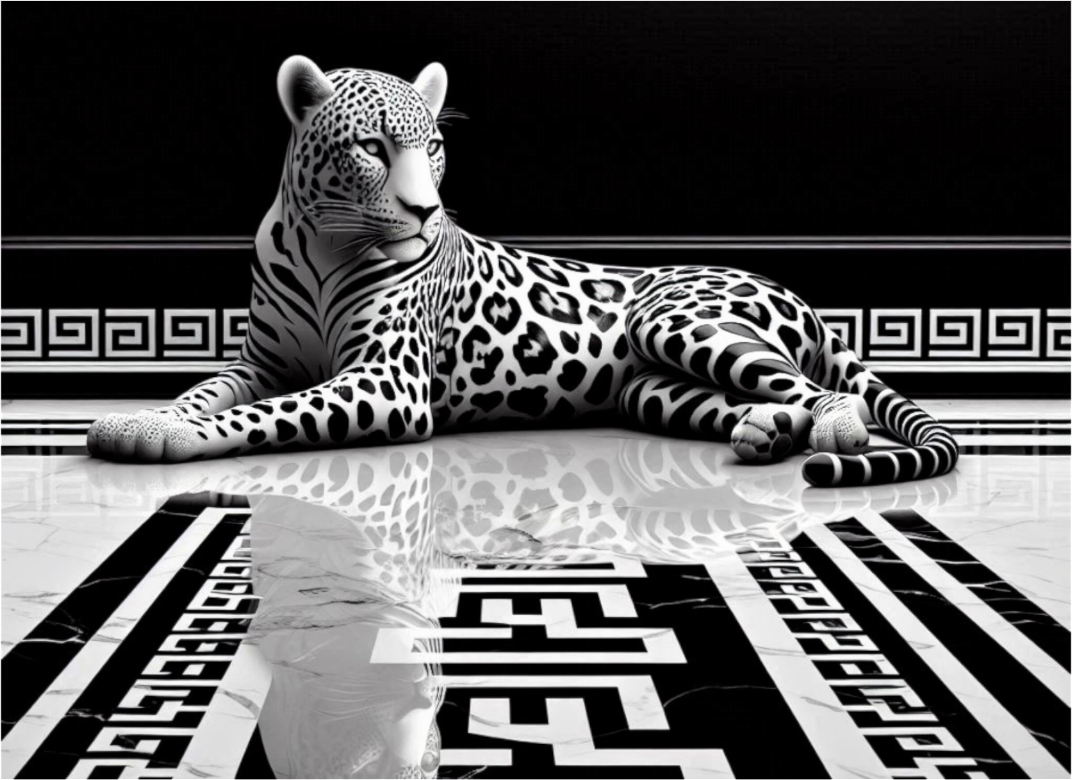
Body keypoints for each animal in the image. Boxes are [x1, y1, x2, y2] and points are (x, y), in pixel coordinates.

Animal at [87, 56, 959, 488]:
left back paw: (835, 428)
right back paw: (764, 433)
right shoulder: (259, 363)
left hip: (678, 320)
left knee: (821, 390)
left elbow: (263, 415)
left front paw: (168, 438)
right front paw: (143, 419)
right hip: (651, 387)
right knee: (760, 400)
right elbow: (207, 391)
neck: (322, 241)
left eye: (435, 147)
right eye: (372, 147)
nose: (426, 212)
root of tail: (792, 289)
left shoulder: (386, 383)